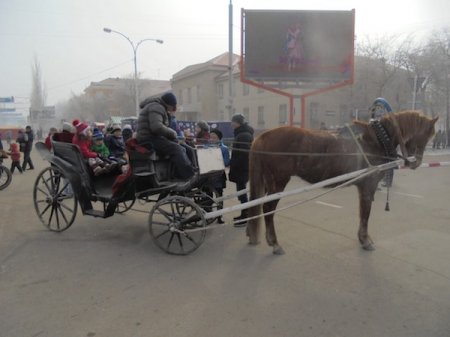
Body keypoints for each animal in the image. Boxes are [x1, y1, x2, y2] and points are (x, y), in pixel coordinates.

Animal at [246, 111, 436, 253]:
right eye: (426, 135)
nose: (416, 162)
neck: (376, 140)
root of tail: (262, 137)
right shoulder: (368, 186)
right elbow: (366, 213)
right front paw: (365, 240)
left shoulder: (363, 187)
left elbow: (362, 212)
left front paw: (363, 238)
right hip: (278, 182)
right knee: (268, 209)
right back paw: (274, 243)